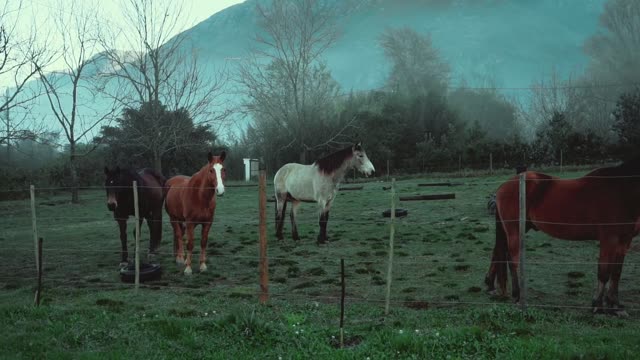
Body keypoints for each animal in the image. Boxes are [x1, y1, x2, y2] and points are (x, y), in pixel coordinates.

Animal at [484, 158, 640, 316]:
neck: (621, 189)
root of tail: (503, 187)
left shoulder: (624, 241)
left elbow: (616, 272)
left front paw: (616, 306)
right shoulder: (609, 239)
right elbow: (604, 272)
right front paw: (597, 306)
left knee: (500, 253)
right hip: (514, 230)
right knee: (513, 260)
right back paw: (517, 295)